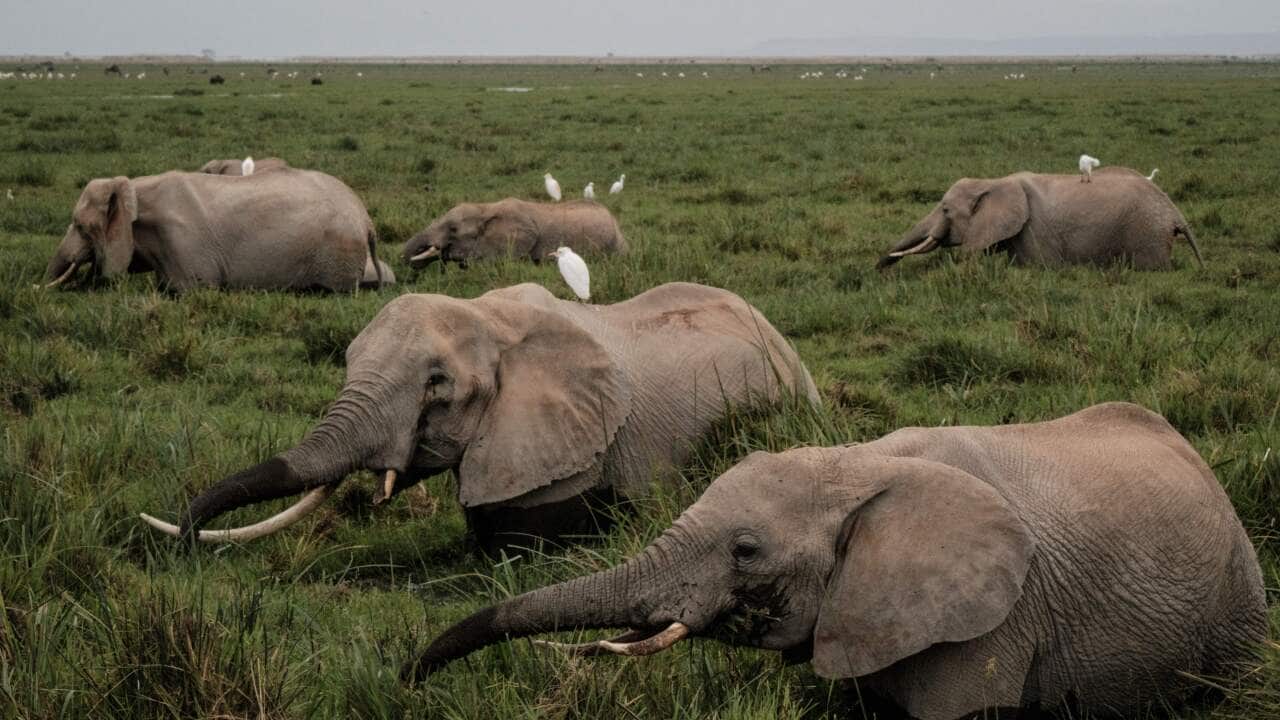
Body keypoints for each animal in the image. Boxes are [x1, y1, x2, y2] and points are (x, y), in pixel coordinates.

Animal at [44, 169, 393, 291]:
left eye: (81, 226)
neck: (136, 188)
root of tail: (365, 218)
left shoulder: (183, 244)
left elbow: (194, 290)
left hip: (337, 254)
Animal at [878, 167, 1203, 270]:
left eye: (945, 210)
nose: (879, 270)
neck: (995, 181)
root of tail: (1175, 212)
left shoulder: (1034, 231)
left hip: (1147, 234)